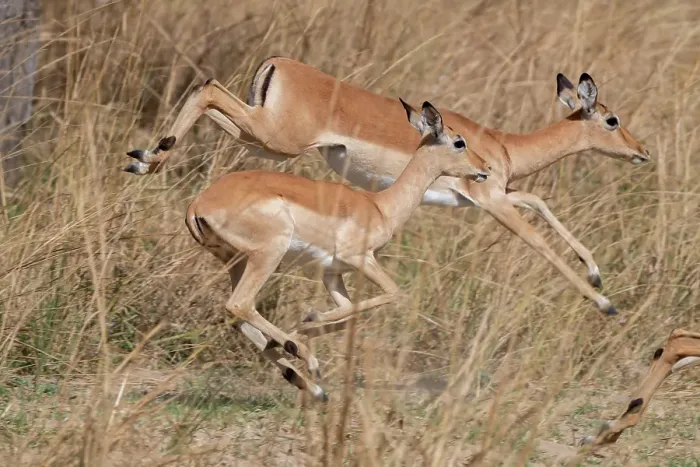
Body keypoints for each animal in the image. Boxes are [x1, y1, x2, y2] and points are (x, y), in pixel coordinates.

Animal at [125, 57, 651, 315]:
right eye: (612, 119)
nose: (642, 151)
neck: (501, 145)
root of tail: (279, 62)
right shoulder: (491, 201)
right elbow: (539, 243)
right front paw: (604, 302)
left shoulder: (492, 196)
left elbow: (540, 202)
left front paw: (596, 274)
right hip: (275, 139)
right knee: (208, 88)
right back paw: (146, 159)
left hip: (264, 141)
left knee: (207, 94)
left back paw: (146, 158)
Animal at [183, 100, 490, 400]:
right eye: (459, 142)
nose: (484, 168)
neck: (380, 207)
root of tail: (198, 204)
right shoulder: (361, 259)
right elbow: (392, 294)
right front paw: (306, 324)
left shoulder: (332, 273)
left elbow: (348, 314)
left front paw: (304, 326)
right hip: (268, 254)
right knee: (240, 304)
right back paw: (307, 360)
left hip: (237, 262)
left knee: (238, 316)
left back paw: (311, 384)